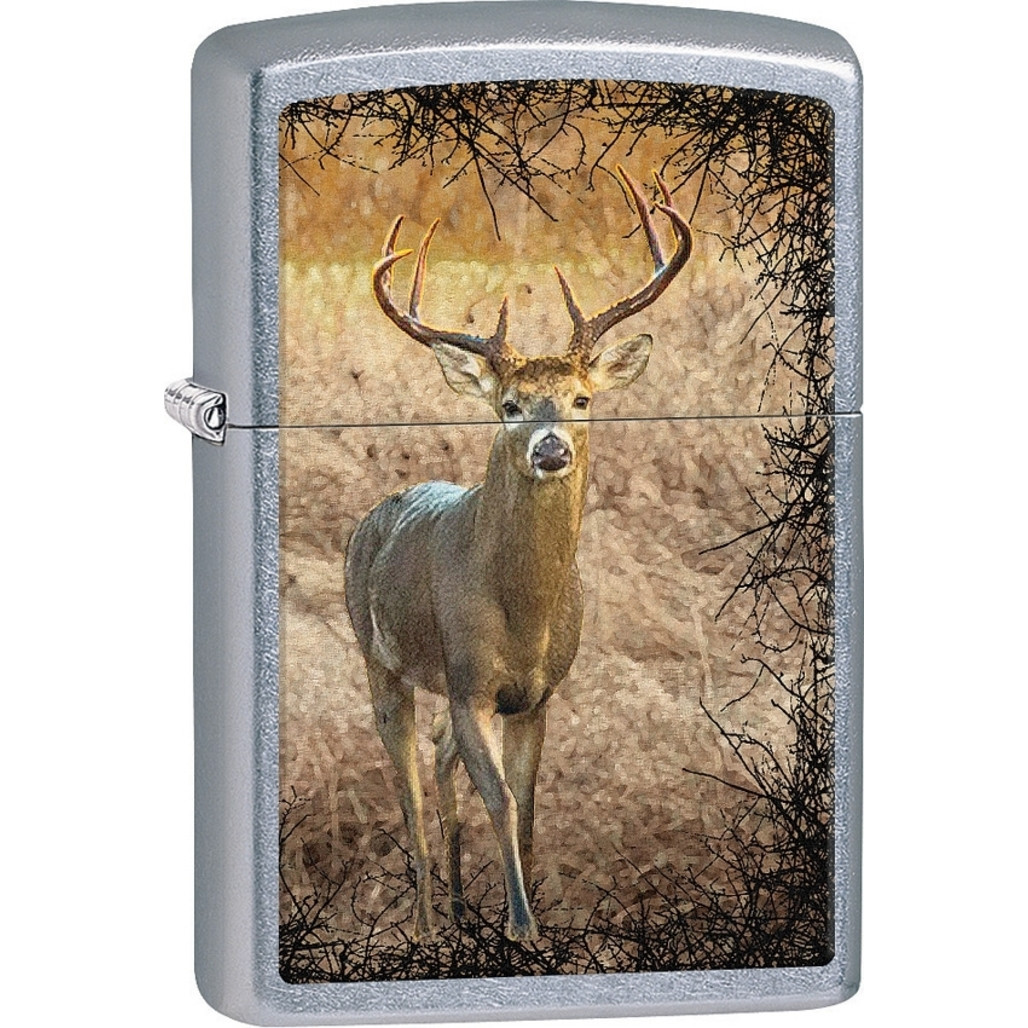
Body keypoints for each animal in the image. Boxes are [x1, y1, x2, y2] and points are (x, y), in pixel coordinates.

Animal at [344, 167, 692, 942]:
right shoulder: (471, 680)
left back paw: (454, 909)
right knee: (408, 788)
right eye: (509, 404)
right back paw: (427, 922)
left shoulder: (537, 695)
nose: (551, 449)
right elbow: (500, 800)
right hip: (379, 656)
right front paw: (521, 925)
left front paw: (525, 924)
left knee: (439, 760)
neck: (522, 613)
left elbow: (527, 808)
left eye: (582, 398)